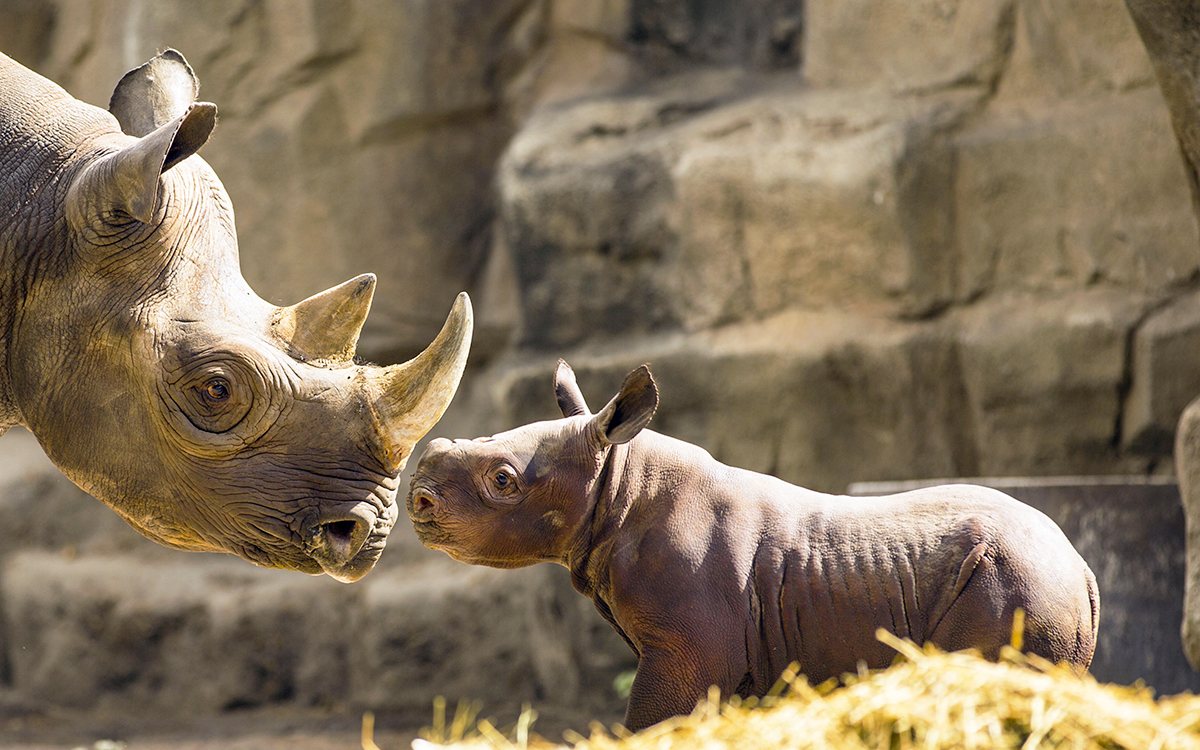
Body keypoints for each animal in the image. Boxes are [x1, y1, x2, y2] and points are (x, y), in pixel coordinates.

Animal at [407, 361, 1100, 731]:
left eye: (503, 480)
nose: (417, 500)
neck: (617, 482)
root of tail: (1084, 568)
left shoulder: (685, 649)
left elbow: (650, 723)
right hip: (1032, 582)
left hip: (1015, 581)